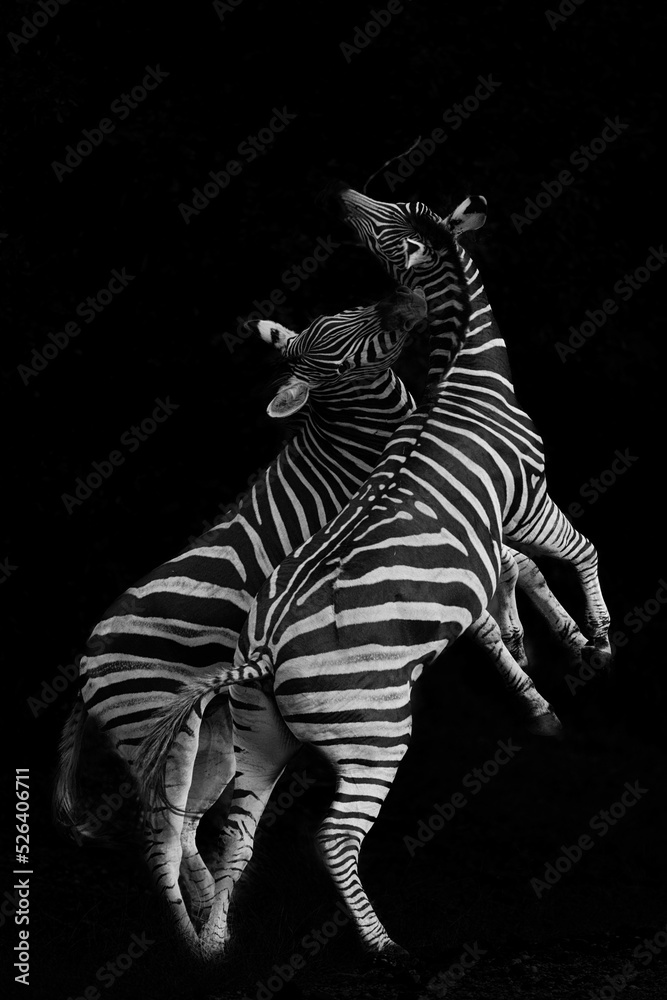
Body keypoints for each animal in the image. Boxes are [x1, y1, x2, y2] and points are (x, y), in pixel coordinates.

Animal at [137, 194, 587, 964]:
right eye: (391, 236)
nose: (345, 194)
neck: (467, 381)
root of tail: (260, 654)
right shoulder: (526, 501)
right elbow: (574, 553)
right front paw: (593, 641)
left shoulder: (474, 551)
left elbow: (502, 604)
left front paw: (534, 664)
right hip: (373, 733)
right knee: (335, 840)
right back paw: (384, 947)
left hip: (261, 737)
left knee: (234, 831)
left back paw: (219, 941)